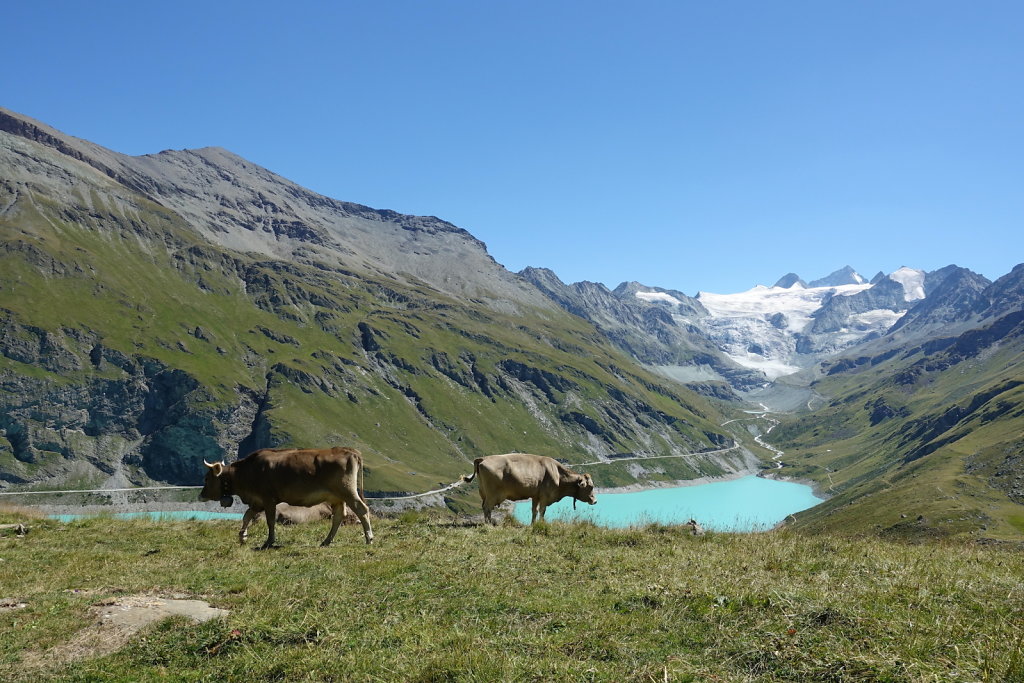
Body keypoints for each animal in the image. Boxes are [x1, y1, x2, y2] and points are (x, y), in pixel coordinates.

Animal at [198, 448, 372, 548]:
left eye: (206, 478)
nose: (200, 496)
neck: (247, 471)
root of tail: (349, 451)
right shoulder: (257, 501)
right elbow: (246, 516)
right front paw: (243, 536)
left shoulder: (268, 499)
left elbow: (270, 521)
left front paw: (269, 541)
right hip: (336, 497)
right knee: (338, 517)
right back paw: (326, 541)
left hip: (347, 491)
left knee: (362, 510)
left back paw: (369, 538)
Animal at [462, 456, 598, 528]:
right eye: (591, 486)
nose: (595, 501)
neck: (558, 475)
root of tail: (483, 458)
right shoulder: (544, 496)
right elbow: (542, 511)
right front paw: (542, 523)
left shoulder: (535, 496)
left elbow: (534, 511)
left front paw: (533, 524)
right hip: (492, 494)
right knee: (487, 507)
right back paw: (489, 524)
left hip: (484, 492)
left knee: (485, 507)